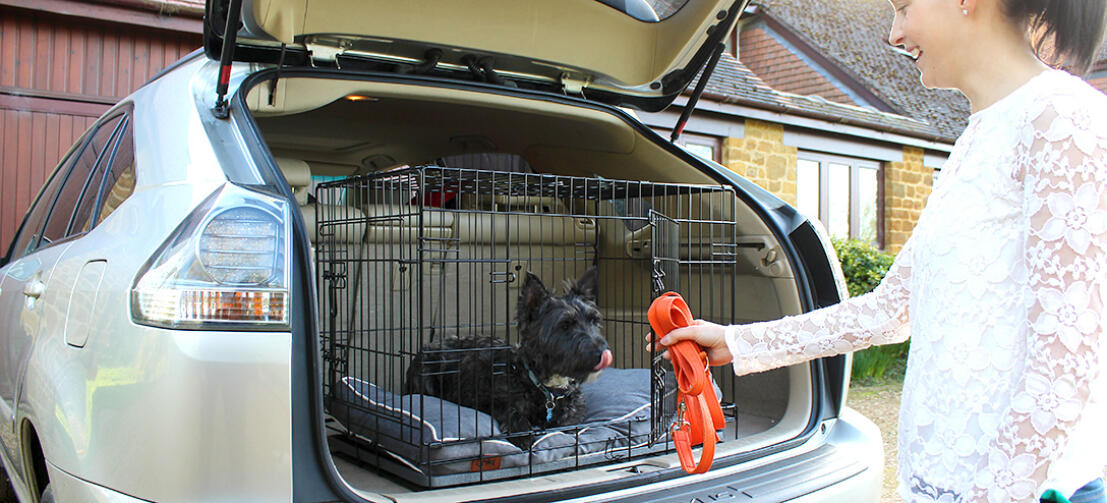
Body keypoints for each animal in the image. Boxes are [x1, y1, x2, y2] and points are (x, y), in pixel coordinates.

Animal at [407, 264, 615, 445]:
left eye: (594, 321)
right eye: (565, 325)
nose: (602, 352)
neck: (544, 387)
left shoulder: (573, 412)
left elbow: (570, 424)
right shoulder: (495, 401)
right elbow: (514, 414)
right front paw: (525, 436)